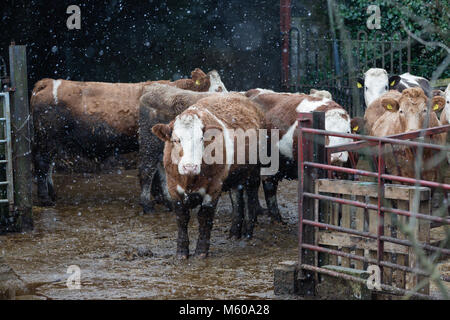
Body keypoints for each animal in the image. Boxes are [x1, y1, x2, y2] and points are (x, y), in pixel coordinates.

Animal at [32, 69, 227, 206]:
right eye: (218, 88)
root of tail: (47, 82)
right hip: (47, 138)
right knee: (42, 163)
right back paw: (45, 199)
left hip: (52, 141)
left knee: (49, 166)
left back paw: (52, 194)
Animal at [151, 94, 266, 258]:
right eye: (176, 140)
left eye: (201, 139)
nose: (189, 166)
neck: (190, 180)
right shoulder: (173, 186)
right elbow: (182, 217)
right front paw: (181, 252)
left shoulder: (214, 187)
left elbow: (205, 216)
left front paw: (201, 251)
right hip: (235, 175)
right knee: (237, 197)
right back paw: (234, 232)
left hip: (254, 171)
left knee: (251, 195)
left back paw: (248, 233)